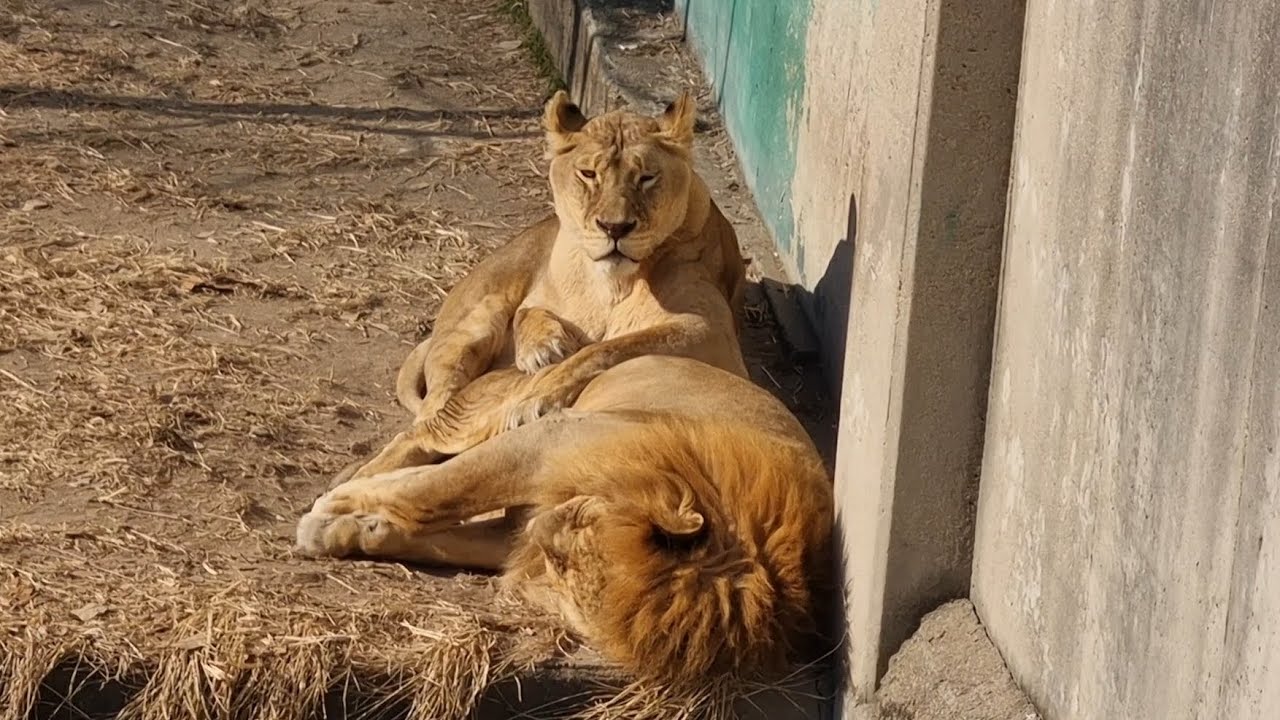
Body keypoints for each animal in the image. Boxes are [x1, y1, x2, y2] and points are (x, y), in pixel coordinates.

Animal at [297, 355, 835, 684]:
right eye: (581, 521)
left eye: (563, 564)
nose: (541, 531)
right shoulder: (547, 441)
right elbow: (438, 489)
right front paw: (335, 505)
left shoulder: (516, 525)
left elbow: (437, 519)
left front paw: (350, 527)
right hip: (522, 405)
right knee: (424, 436)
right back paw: (355, 472)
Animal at [340, 89, 749, 480]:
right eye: (588, 174)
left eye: (647, 177)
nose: (614, 228)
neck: (608, 285)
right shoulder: (541, 297)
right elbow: (529, 314)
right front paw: (543, 350)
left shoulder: (712, 334)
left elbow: (608, 348)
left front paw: (539, 395)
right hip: (472, 326)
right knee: (426, 417)